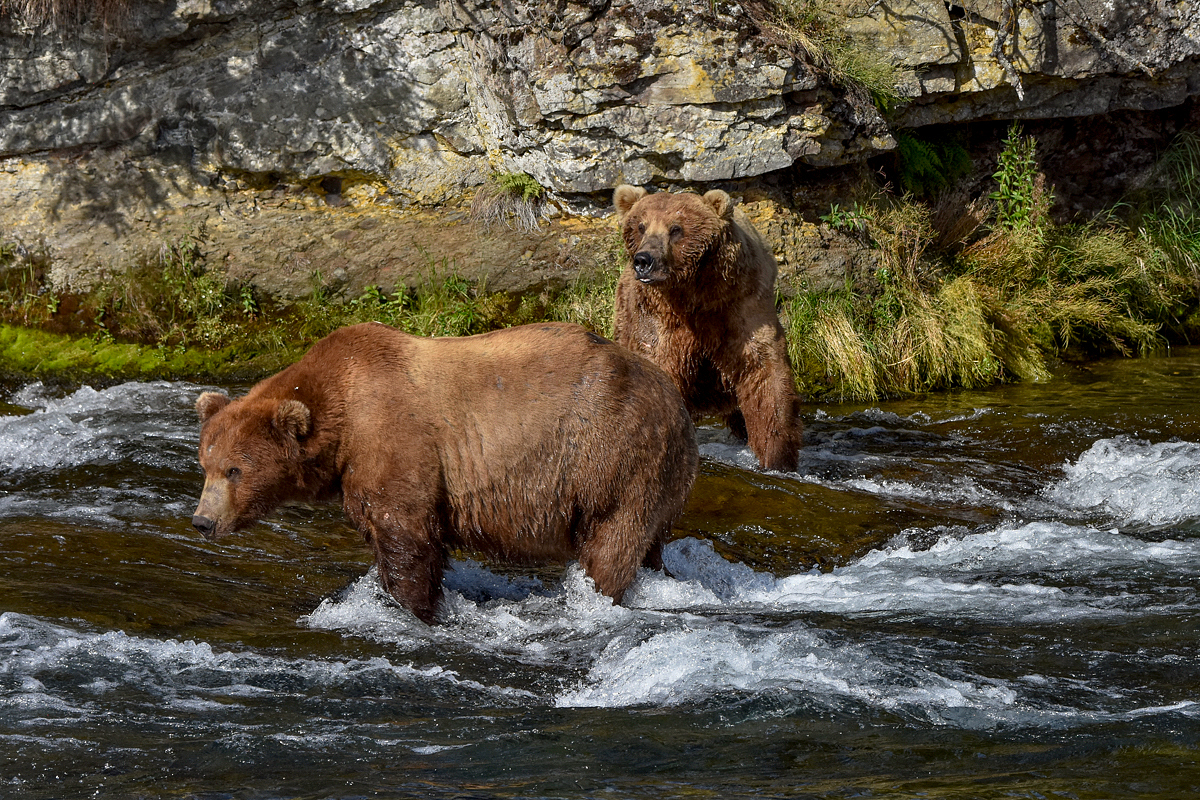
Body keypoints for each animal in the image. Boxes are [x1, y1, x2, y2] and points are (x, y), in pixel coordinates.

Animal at [192, 321, 700, 623]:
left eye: (234, 470)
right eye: (205, 465)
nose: (202, 521)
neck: (342, 420)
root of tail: (675, 400)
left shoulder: (396, 440)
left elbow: (407, 536)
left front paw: (415, 609)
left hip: (611, 455)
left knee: (611, 542)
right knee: (649, 545)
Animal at [614, 185, 801, 474]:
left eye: (676, 228)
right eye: (641, 226)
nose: (644, 260)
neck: (694, 292)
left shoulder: (741, 305)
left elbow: (765, 375)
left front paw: (777, 456)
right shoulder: (659, 318)